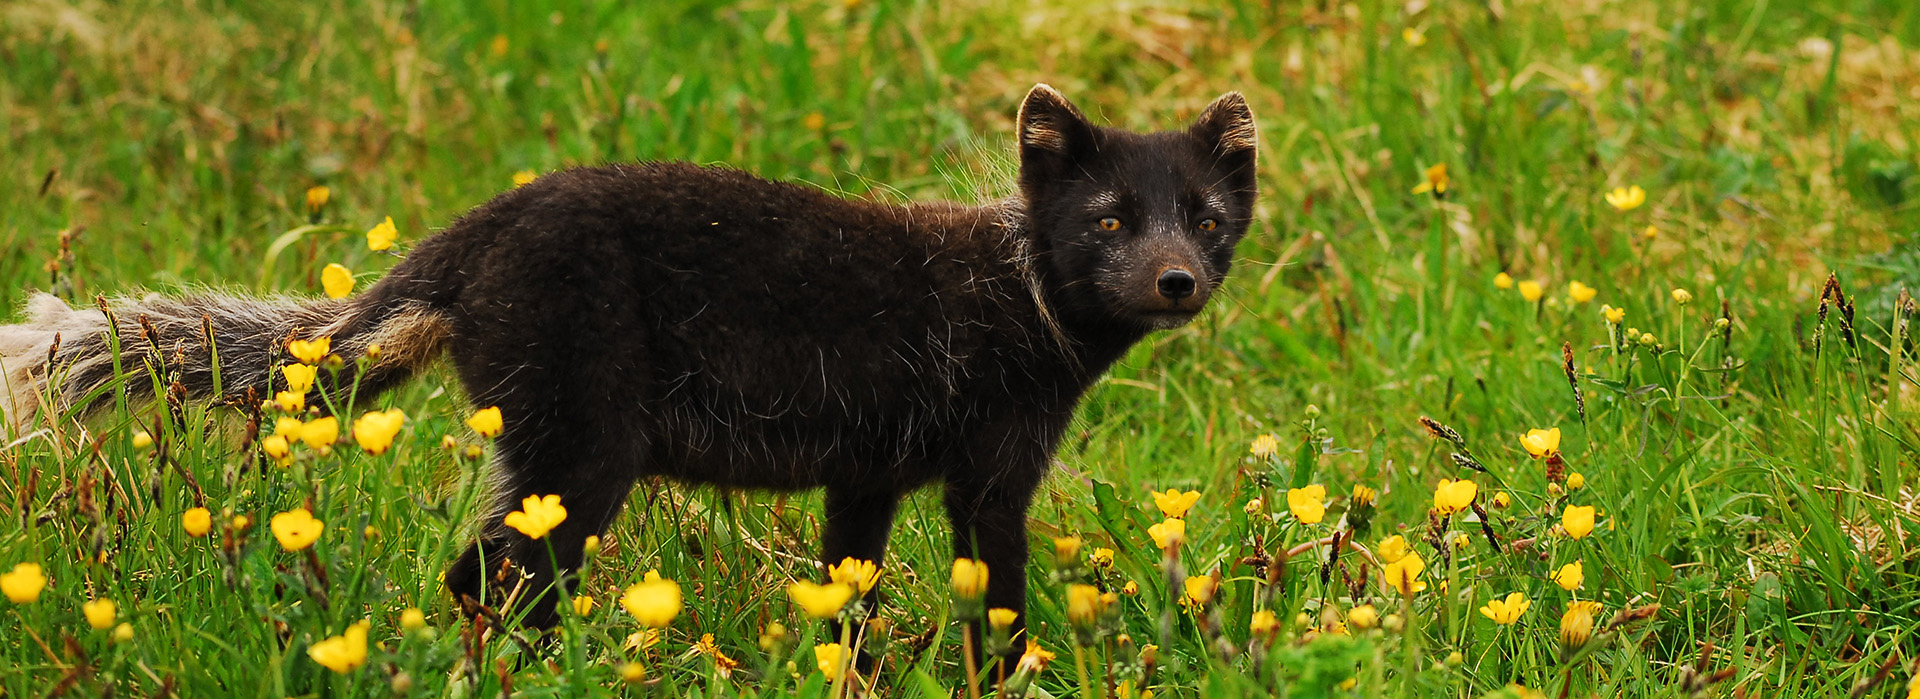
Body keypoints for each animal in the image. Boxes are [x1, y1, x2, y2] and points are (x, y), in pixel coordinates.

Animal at [3, 85, 1259, 637]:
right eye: (1106, 221)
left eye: (1203, 217)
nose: (1175, 282)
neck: (1019, 284)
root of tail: (473, 236)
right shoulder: (992, 457)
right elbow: (995, 586)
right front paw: (1005, 661)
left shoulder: (867, 470)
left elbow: (847, 588)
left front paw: (844, 661)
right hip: (580, 434)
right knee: (489, 578)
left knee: (485, 575)